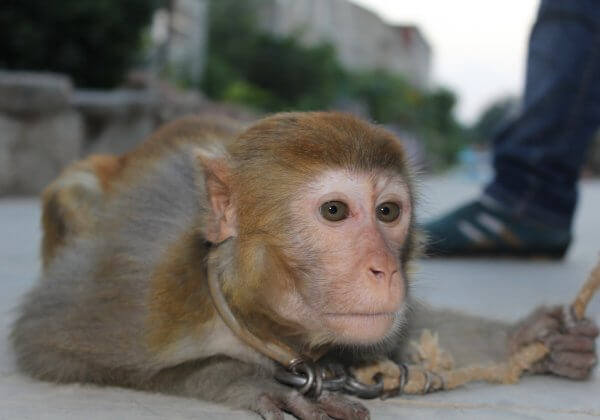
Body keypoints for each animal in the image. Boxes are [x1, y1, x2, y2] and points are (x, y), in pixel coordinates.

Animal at [11, 112, 596, 420]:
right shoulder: (146, 296)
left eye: (388, 212)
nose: (385, 269)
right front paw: (247, 381)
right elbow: (45, 342)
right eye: (334, 211)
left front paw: (530, 338)